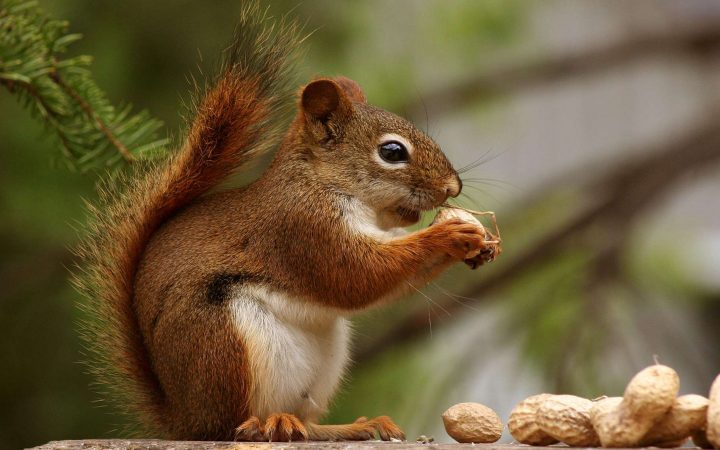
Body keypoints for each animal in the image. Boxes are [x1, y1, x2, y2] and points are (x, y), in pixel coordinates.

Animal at [77, 1, 496, 442]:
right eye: (393, 152)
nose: (453, 187)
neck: (325, 183)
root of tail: (185, 419)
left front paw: (476, 244)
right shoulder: (301, 227)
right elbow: (357, 276)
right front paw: (449, 233)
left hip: (324, 360)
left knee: (306, 424)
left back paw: (349, 426)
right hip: (223, 341)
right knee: (231, 426)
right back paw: (263, 425)